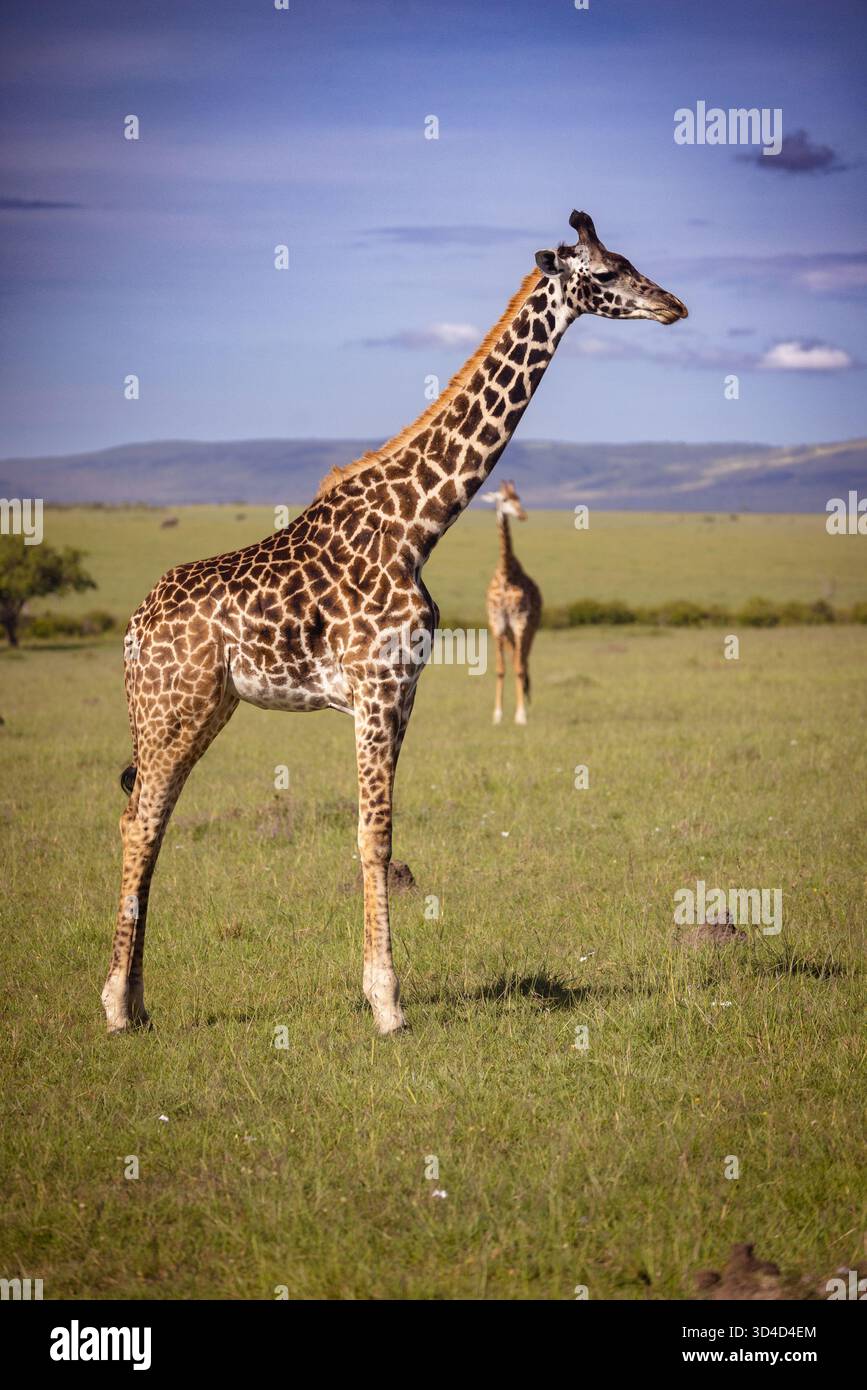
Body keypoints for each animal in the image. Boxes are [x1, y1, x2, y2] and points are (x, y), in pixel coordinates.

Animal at [102, 210, 686, 1037]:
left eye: (629, 260)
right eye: (604, 273)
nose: (673, 306)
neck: (420, 523)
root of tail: (132, 627)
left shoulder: (403, 691)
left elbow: (380, 830)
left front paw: (380, 992)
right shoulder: (375, 687)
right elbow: (372, 835)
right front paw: (387, 1003)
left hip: (206, 707)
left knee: (147, 816)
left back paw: (140, 1000)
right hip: (170, 705)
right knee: (140, 820)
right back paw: (117, 1005)